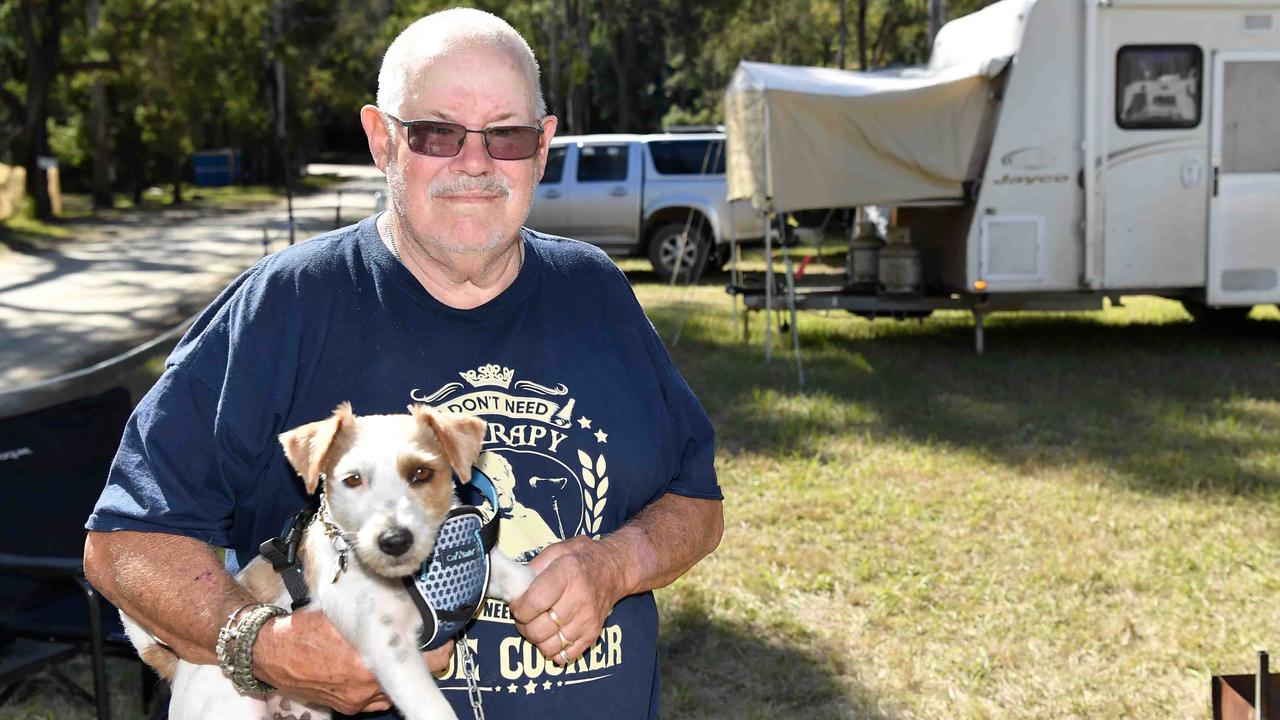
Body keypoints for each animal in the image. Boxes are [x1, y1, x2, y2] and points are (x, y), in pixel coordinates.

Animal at [122, 404, 532, 717]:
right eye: (352, 480)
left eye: (421, 473)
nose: (394, 541)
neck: (408, 581)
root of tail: (181, 667)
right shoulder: (390, 648)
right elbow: (433, 708)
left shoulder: (486, 568)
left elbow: (520, 580)